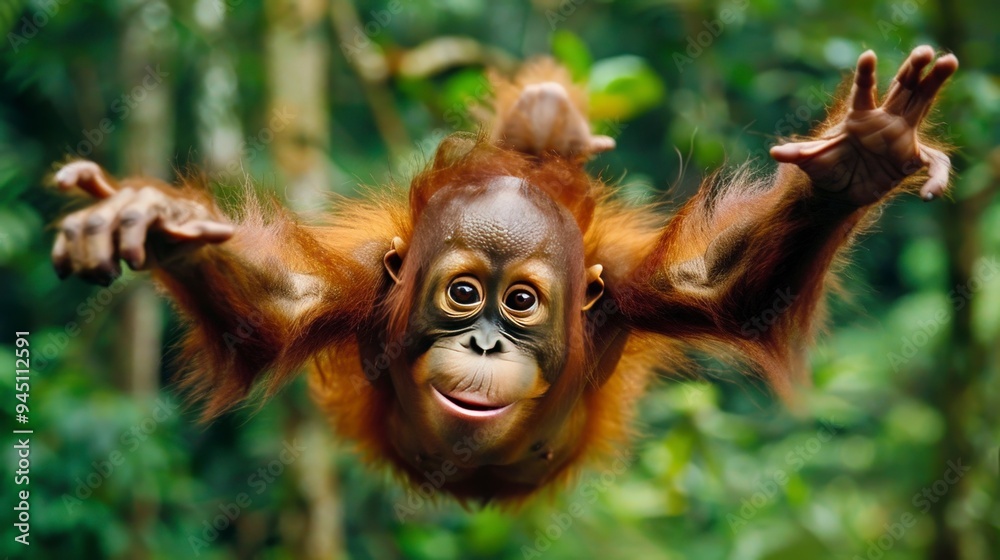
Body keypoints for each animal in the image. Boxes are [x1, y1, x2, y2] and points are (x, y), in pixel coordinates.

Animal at [47, 46, 957, 504]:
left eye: (519, 302)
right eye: (463, 294)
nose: (486, 342)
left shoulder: (623, 297)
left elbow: (730, 289)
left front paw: (859, 159)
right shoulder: (362, 295)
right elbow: (272, 308)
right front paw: (148, 220)